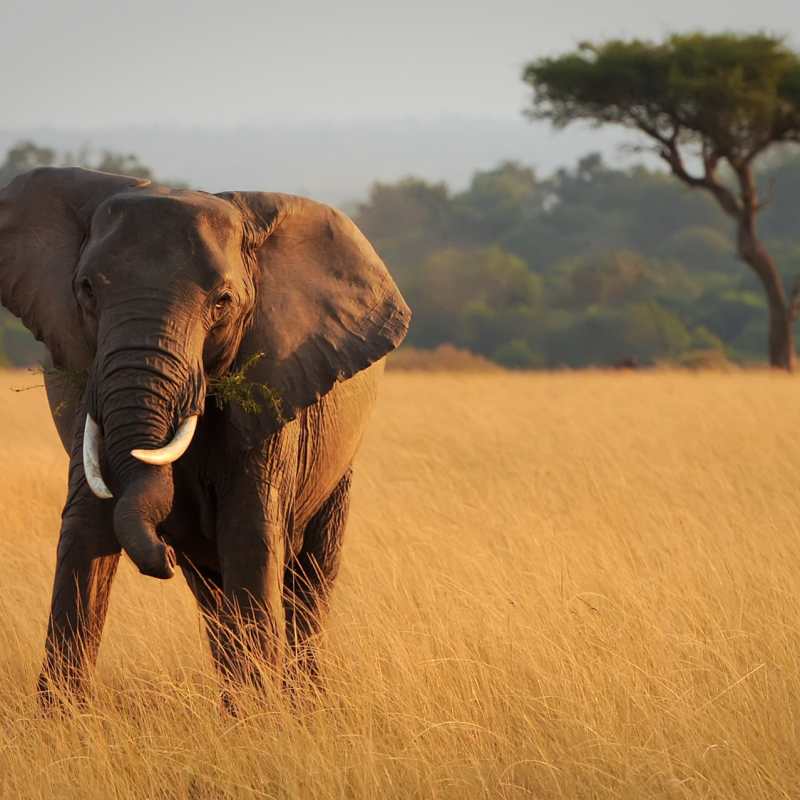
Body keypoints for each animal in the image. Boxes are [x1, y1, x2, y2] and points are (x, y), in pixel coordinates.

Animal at [0, 167, 410, 705]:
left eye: (223, 302)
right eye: (86, 289)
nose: (164, 558)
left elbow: (250, 534)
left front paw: (264, 719)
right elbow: (85, 532)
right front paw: (62, 718)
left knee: (310, 578)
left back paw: (302, 704)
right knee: (214, 595)